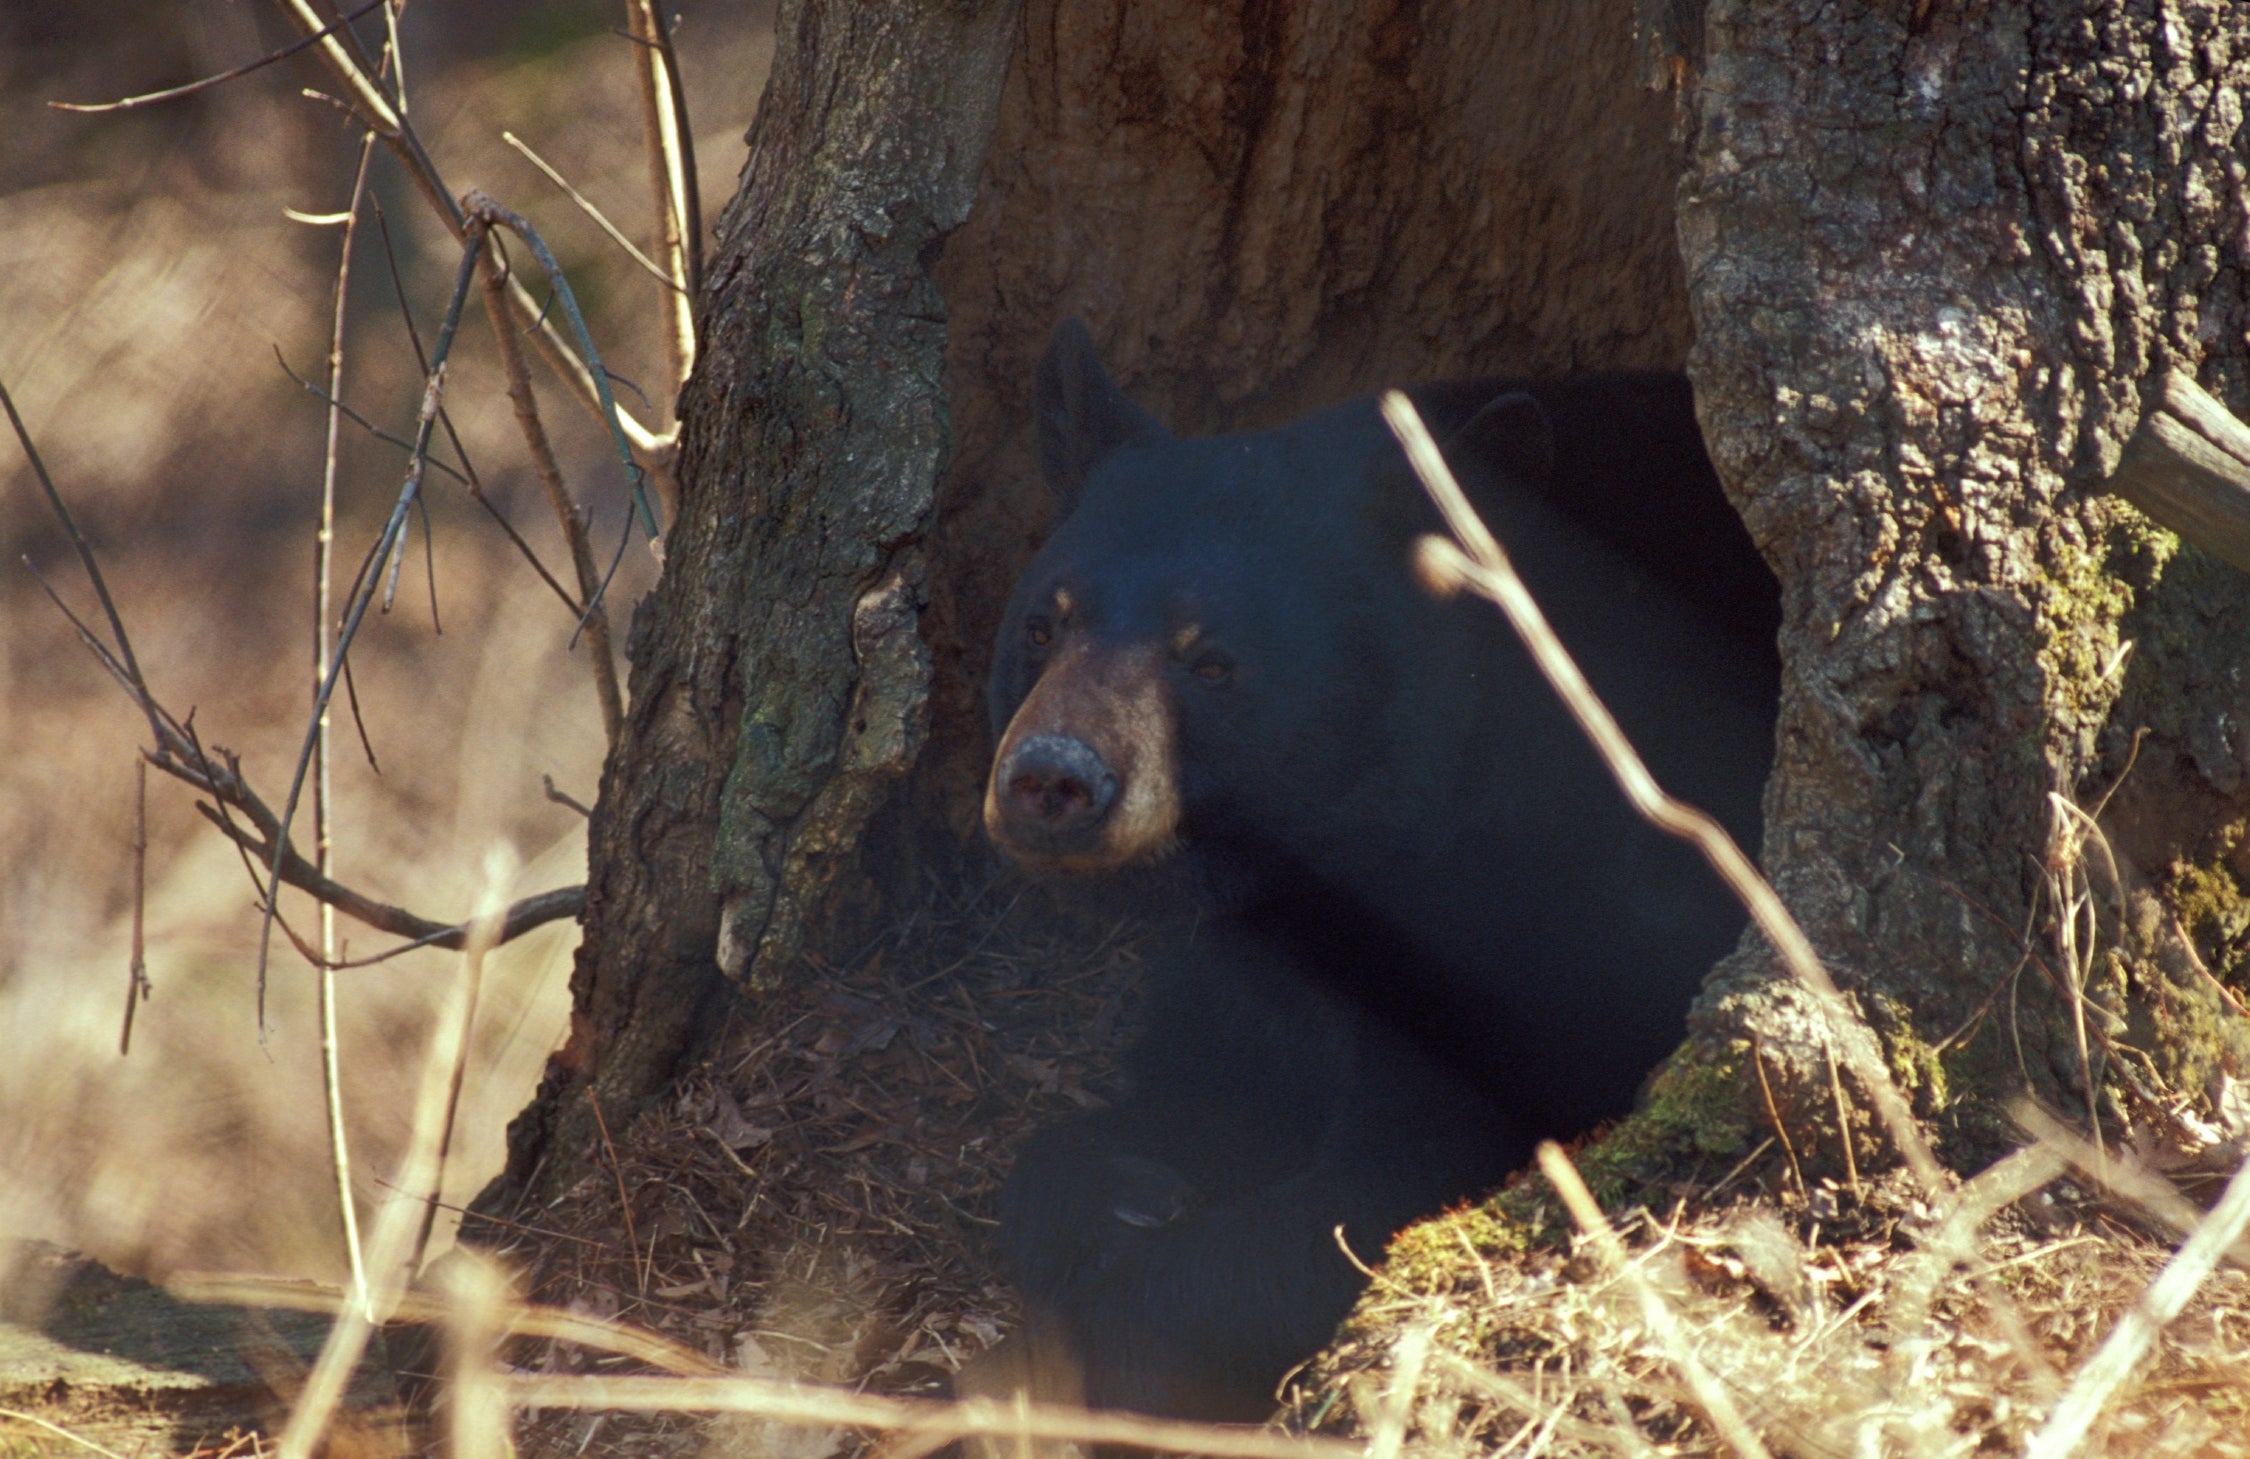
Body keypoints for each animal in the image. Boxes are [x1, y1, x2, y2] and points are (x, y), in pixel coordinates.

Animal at [981, 319, 1773, 1422]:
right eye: (1042, 624)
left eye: (1211, 660)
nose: (1052, 775)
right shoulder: (1256, 950)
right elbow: (1191, 1079)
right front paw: (1118, 1180)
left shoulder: (1559, 908)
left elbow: (1389, 1187)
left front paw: (1145, 1313)